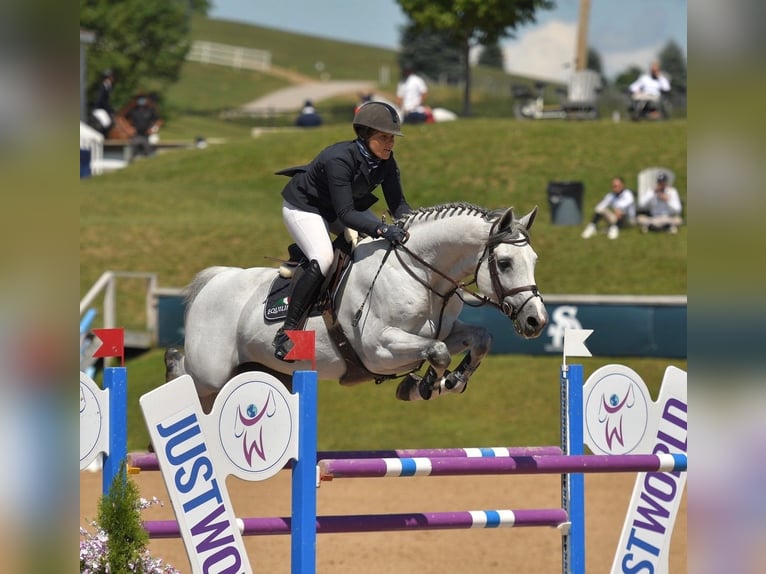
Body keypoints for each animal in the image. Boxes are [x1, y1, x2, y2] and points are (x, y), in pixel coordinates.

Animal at [167, 202, 548, 410]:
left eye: (534, 260)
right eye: (504, 263)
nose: (537, 321)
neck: (422, 271)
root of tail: (216, 279)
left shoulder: (445, 330)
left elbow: (480, 338)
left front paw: (450, 381)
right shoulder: (378, 348)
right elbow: (437, 352)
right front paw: (425, 385)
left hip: (253, 370)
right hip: (211, 371)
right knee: (185, 373)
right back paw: (171, 369)